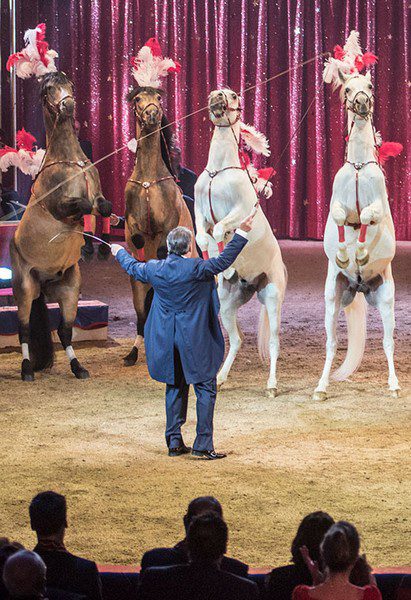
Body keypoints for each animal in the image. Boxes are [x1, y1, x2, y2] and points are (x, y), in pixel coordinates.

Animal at [10, 71, 111, 380]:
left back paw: (78, 368)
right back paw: (27, 370)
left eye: (68, 85)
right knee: (24, 330)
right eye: (49, 89)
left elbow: (103, 206)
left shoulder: (100, 194)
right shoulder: (60, 207)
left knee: (65, 331)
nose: (68, 105)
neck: (71, 162)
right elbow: (81, 206)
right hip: (24, 289)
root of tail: (42, 285)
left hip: (69, 291)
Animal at [123, 84, 197, 366]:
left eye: (157, 97)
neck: (148, 182)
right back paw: (134, 353)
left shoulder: (168, 224)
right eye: (137, 99)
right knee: (142, 312)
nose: (153, 114)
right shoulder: (132, 224)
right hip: (136, 285)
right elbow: (137, 237)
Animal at [196, 89, 286, 396]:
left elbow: (220, 228)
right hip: (226, 305)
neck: (219, 171)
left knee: (273, 343)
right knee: (236, 339)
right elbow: (202, 236)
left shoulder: (240, 211)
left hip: (272, 297)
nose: (216, 98)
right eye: (216, 90)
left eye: (233, 95)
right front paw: (218, 265)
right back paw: (221, 378)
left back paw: (272, 385)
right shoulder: (199, 209)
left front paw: (224, 259)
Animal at [314, 69, 400, 398]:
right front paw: (343, 254)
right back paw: (321, 387)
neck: (360, 167)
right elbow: (342, 217)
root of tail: (361, 287)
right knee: (331, 344)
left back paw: (394, 385)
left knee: (388, 343)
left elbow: (365, 217)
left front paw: (361, 252)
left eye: (370, 85)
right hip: (333, 299)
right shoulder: (336, 203)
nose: (362, 103)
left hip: (386, 300)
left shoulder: (379, 206)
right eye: (348, 88)